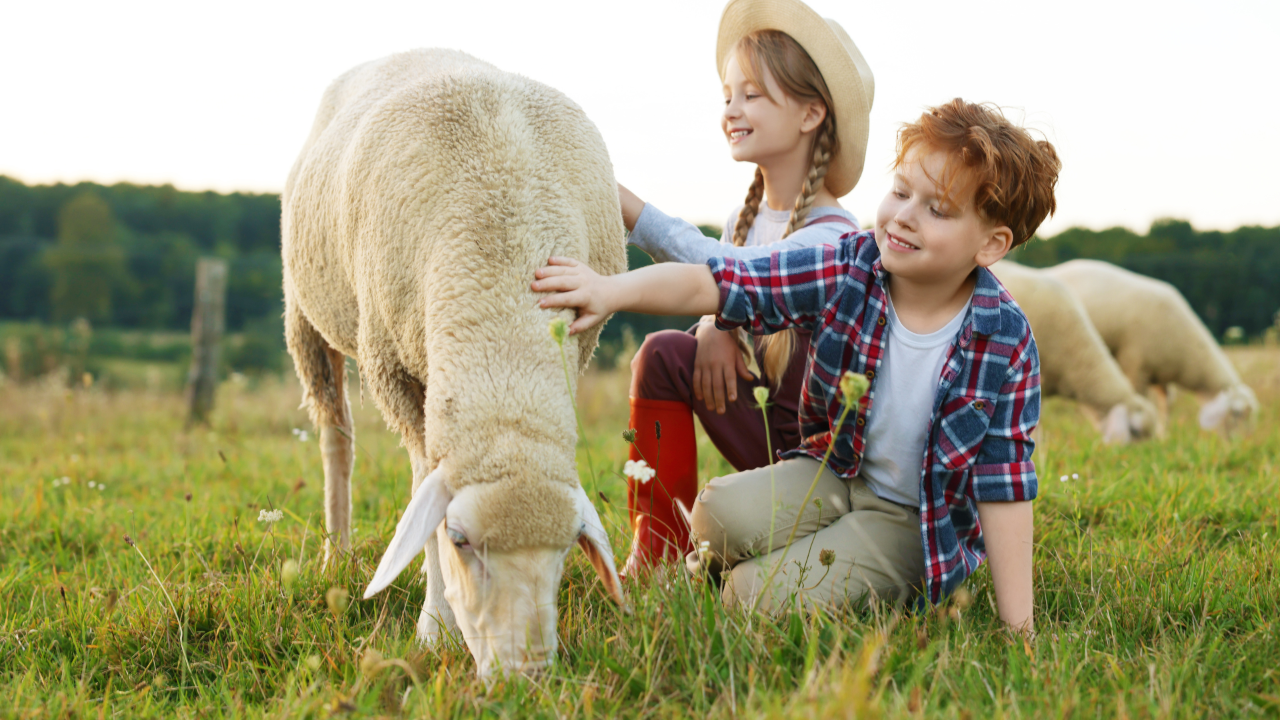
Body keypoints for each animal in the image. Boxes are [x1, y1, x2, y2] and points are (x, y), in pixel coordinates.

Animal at [286, 47, 634, 676]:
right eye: (460, 540)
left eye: (566, 548)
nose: (525, 676)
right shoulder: (393, 369)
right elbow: (421, 482)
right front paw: (433, 629)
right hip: (304, 312)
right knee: (335, 436)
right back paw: (336, 553)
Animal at [1049, 260, 1259, 435]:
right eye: (1237, 413)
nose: (1239, 442)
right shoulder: (1135, 364)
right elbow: (1139, 399)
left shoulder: (1162, 374)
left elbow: (1167, 405)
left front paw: (1162, 435)